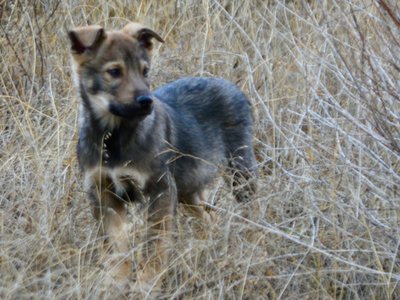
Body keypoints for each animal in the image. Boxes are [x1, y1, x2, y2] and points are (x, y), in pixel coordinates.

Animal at [67, 22, 258, 282]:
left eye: (145, 70)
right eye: (114, 72)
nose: (146, 101)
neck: (113, 137)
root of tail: (231, 85)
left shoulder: (160, 189)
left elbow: (155, 245)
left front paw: (147, 282)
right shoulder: (103, 193)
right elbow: (116, 249)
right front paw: (116, 282)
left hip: (239, 170)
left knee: (253, 208)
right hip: (189, 188)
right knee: (209, 217)